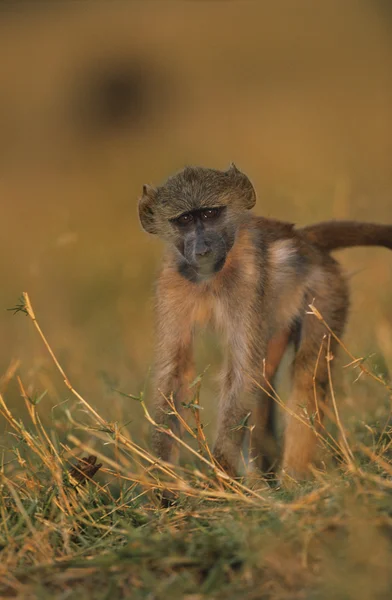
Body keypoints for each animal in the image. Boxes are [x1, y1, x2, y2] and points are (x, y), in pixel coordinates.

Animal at [139, 164, 392, 482]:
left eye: (210, 214)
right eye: (184, 220)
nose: (203, 249)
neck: (211, 278)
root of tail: (305, 240)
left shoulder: (249, 279)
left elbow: (243, 373)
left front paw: (222, 471)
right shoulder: (171, 282)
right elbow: (175, 373)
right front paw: (163, 480)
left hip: (326, 290)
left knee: (307, 374)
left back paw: (294, 480)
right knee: (266, 382)